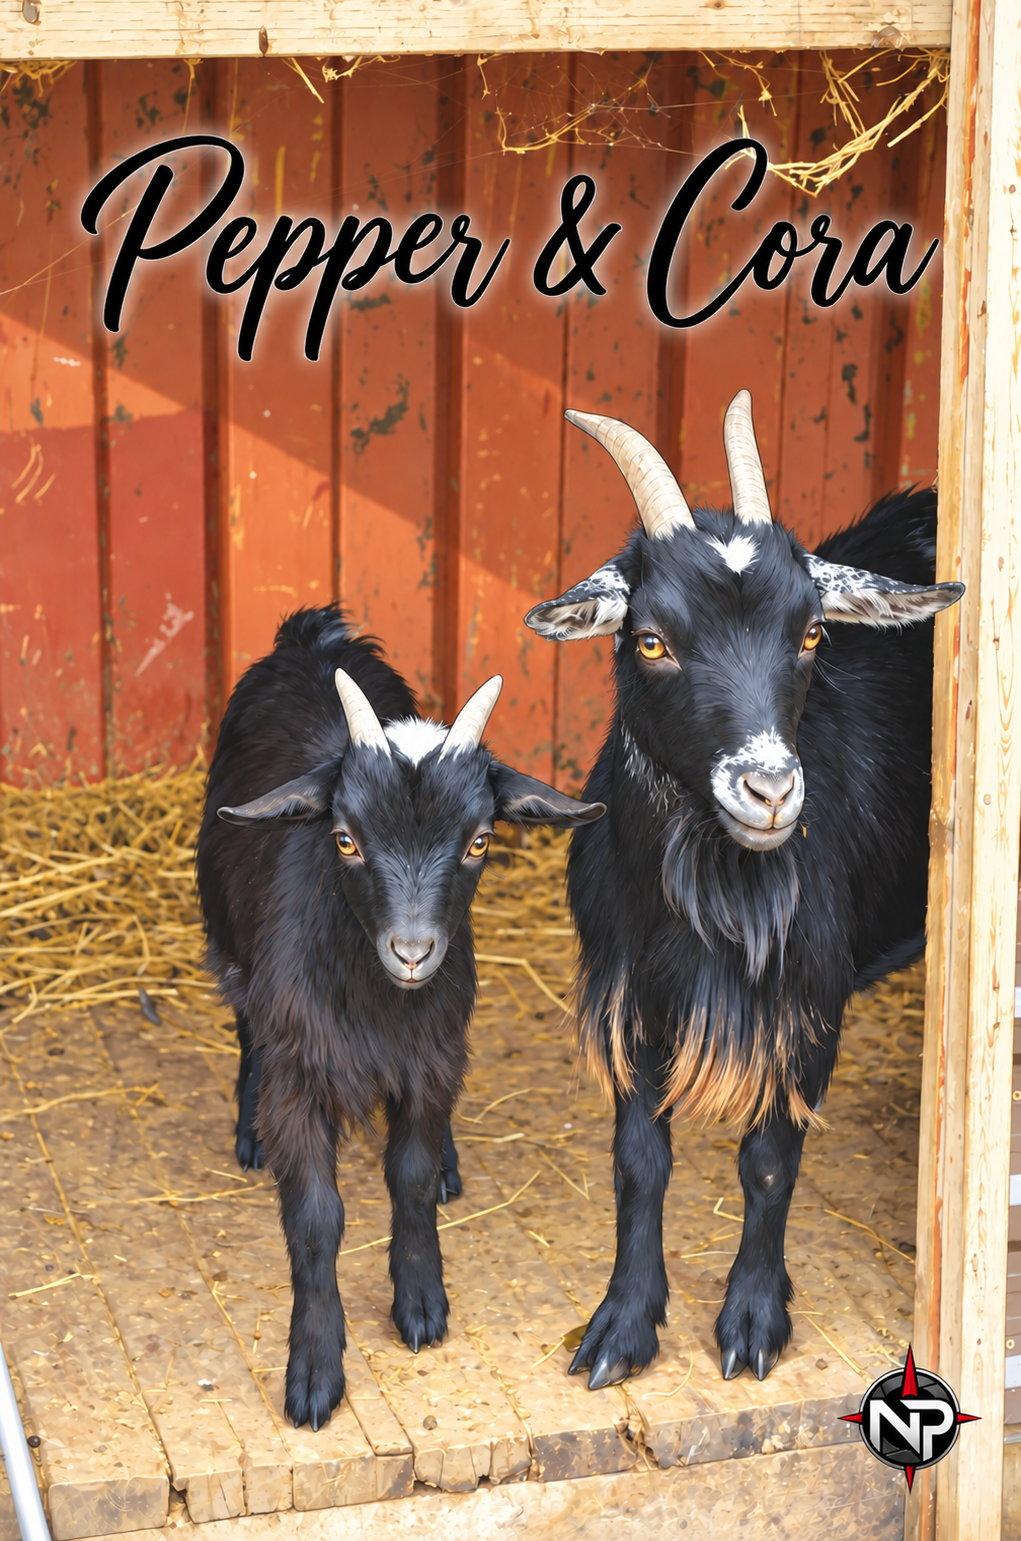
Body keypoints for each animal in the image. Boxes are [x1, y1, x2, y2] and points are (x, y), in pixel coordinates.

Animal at [196, 607, 604, 1429]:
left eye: (479, 840)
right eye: (345, 838)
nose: (414, 952)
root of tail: (314, 635)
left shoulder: (433, 1055)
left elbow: (408, 1176)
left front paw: (419, 1300)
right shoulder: (300, 1069)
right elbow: (315, 1217)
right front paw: (314, 1369)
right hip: (232, 947)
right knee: (247, 1025)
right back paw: (249, 1131)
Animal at [523, 393, 962, 1390]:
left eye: (811, 631)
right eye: (651, 638)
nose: (768, 789)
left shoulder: (808, 999)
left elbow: (767, 1159)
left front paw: (755, 1319)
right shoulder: (632, 991)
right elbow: (638, 1159)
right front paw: (621, 1325)